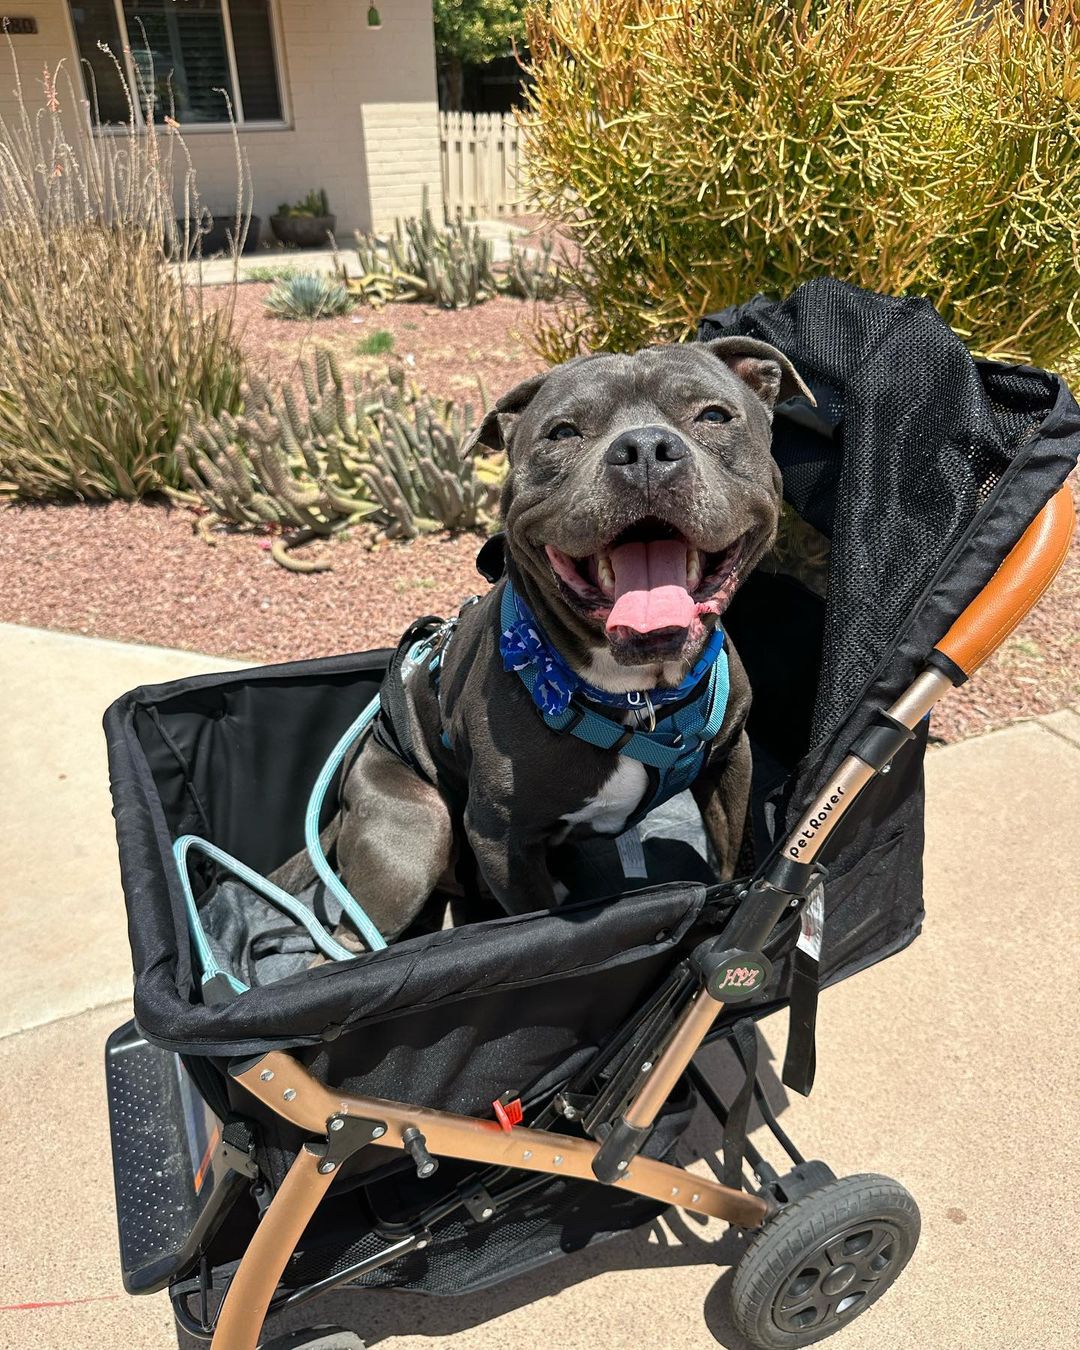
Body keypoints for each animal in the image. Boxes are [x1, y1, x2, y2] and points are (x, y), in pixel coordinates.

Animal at [276, 337, 810, 945]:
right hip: (417, 833)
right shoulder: (499, 839)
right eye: (563, 432)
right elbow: (531, 915)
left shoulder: (730, 764)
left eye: (714, 416)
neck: (637, 694)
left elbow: (729, 858)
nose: (644, 449)